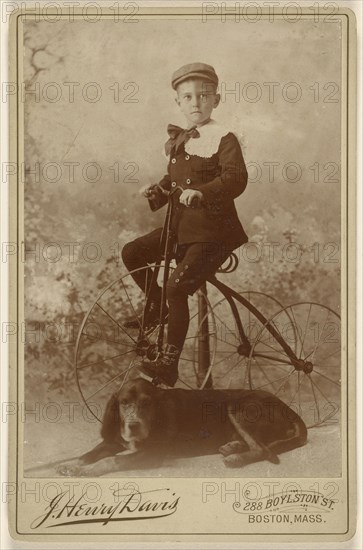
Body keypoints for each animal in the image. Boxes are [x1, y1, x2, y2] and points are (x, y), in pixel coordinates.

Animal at [58, 380, 308, 478]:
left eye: (147, 403)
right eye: (124, 403)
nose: (133, 426)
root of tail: (288, 408)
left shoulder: (152, 454)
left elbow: (112, 460)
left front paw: (86, 471)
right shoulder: (115, 441)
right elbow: (90, 453)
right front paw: (72, 465)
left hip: (238, 406)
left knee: (262, 448)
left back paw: (236, 457)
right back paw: (232, 446)